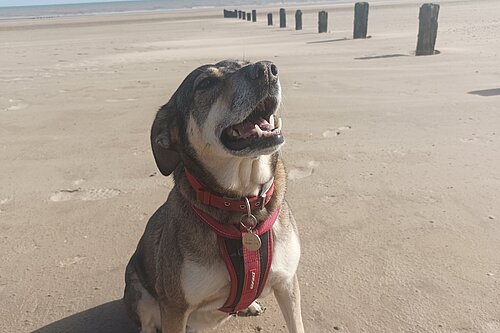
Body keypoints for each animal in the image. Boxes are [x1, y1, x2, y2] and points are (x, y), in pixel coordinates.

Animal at [124, 60, 304, 332]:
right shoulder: (175, 308)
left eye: (245, 63)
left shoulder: (287, 283)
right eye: (206, 83)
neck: (243, 203)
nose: (266, 69)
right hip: (137, 288)